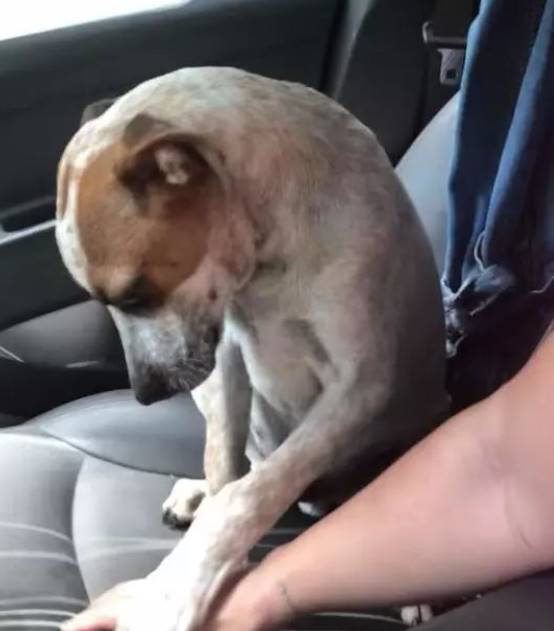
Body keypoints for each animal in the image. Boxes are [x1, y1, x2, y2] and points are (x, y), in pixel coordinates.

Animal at [56, 67, 448, 630]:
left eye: (134, 294)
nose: (145, 395)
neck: (267, 263)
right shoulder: (226, 360)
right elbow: (226, 470)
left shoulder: (359, 384)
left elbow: (248, 496)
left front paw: (175, 590)